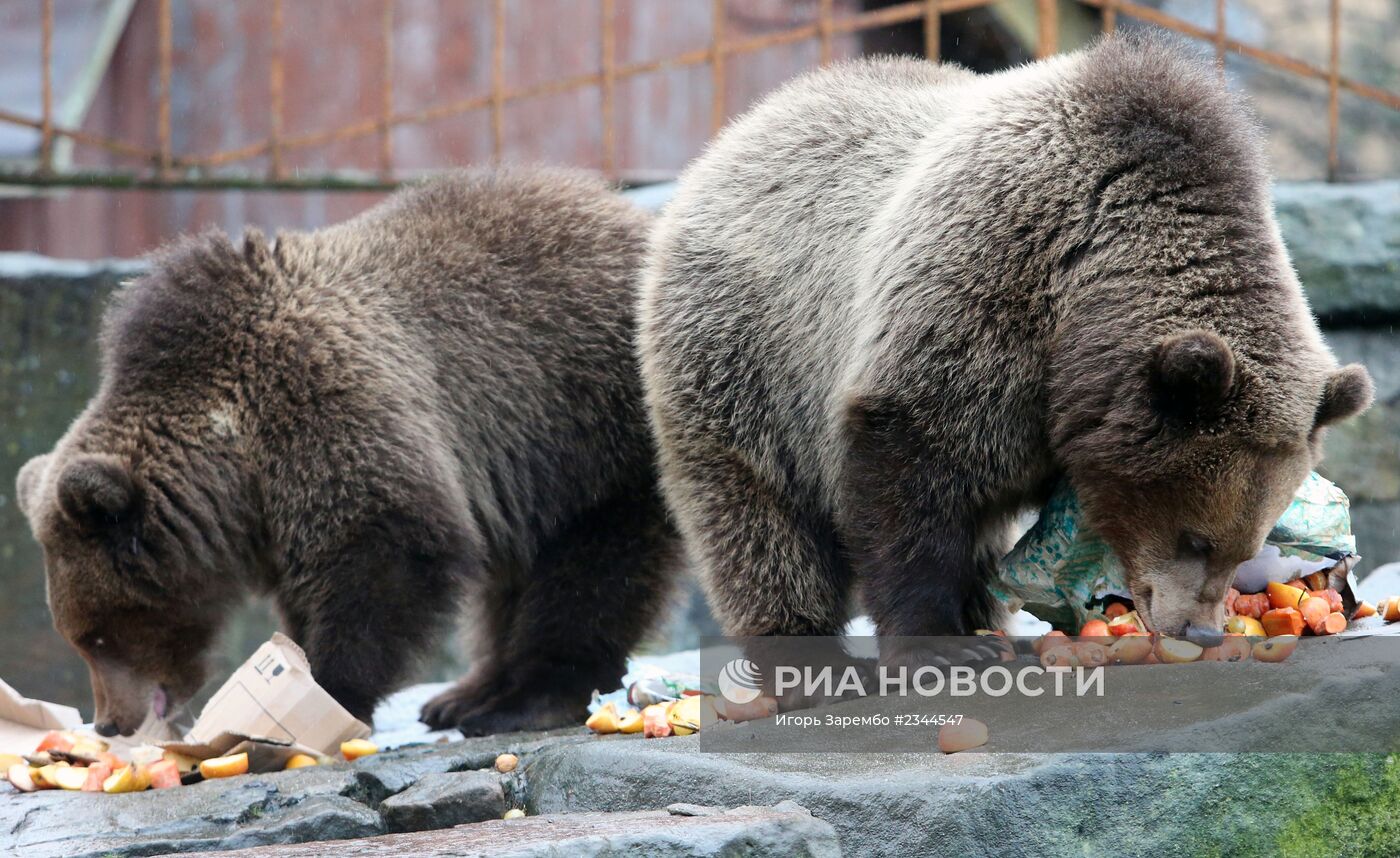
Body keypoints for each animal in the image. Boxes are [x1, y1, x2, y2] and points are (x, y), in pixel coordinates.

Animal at [17, 167, 677, 733]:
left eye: (98, 634)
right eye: (82, 636)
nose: (109, 721)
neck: (234, 459)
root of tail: (636, 216)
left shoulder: (325, 407)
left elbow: (381, 552)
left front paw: (327, 690)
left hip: (588, 421)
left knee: (593, 565)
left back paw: (524, 700)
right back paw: (463, 693)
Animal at [638, 36, 1377, 669]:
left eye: (1245, 543)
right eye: (1195, 536)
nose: (1197, 628)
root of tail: (733, 135)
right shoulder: (979, 298)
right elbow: (910, 479)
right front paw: (936, 644)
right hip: (747, 356)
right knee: (758, 519)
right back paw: (802, 653)